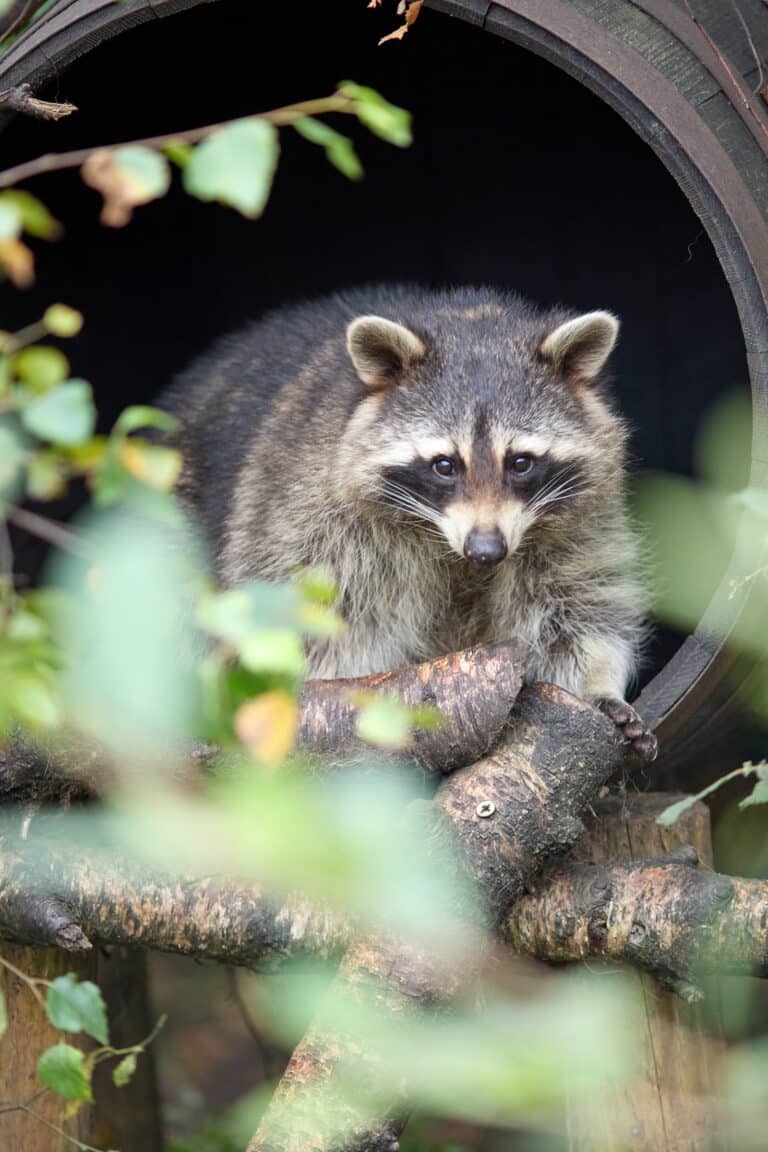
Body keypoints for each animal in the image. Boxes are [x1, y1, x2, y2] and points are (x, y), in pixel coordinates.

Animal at [162, 285, 656, 759]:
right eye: (445, 465)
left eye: (520, 463)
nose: (486, 550)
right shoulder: (314, 521)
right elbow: (330, 630)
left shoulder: (578, 521)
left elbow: (578, 606)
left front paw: (596, 686)